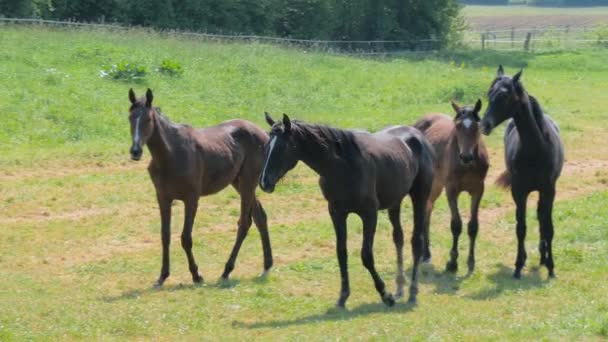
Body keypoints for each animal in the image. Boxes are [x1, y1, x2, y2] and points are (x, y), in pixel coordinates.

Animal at [128, 87, 274, 286]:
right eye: (130, 118)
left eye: (148, 119)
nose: (135, 151)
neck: (171, 154)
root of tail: (264, 134)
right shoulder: (163, 198)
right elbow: (165, 235)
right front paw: (162, 276)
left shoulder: (191, 199)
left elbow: (186, 237)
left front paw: (196, 274)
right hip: (238, 183)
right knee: (260, 216)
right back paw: (267, 265)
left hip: (247, 183)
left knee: (245, 222)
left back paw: (227, 270)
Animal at [258, 113, 434, 308]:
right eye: (266, 146)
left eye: (282, 147)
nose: (264, 182)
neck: (343, 166)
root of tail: (417, 135)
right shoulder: (337, 213)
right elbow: (341, 253)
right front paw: (343, 296)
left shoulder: (369, 214)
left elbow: (366, 255)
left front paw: (385, 294)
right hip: (395, 202)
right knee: (399, 238)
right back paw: (400, 288)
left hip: (419, 197)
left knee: (416, 241)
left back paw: (412, 291)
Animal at [416, 100, 492, 274]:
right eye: (457, 126)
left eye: (476, 126)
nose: (466, 157)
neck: (467, 166)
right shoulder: (451, 190)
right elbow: (456, 225)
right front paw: (452, 263)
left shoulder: (478, 189)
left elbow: (473, 226)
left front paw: (471, 263)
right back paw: (425, 253)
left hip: (436, 185)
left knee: (428, 210)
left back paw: (426, 253)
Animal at [480, 66, 564, 278]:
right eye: (489, 93)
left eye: (504, 95)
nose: (484, 125)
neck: (536, 149)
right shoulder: (519, 191)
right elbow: (521, 227)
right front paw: (518, 265)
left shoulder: (549, 190)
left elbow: (549, 227)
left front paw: (551, 267)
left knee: (542, 217)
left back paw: (543, 257)